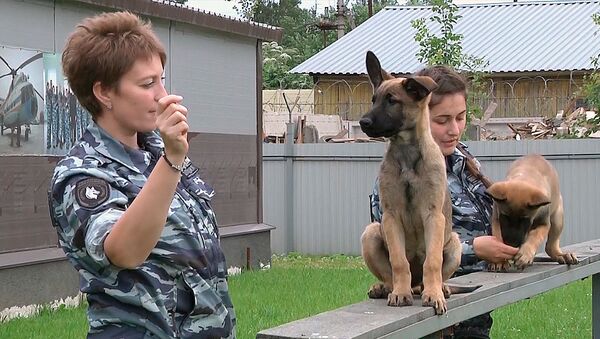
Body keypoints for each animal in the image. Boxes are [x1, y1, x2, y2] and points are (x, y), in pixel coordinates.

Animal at [360, 51, 464, 316]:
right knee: (391, 274)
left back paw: (438, 287)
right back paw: (388, 288)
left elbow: (432, 262)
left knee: (436, 272)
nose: (363, 122)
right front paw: (399, 293)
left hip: (455, 243)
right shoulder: (391, 217)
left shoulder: (433, 216)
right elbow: (398, 262)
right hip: (371, 233)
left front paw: (434, 294)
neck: (407, 153)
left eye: (392, 101)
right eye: (373, 99)